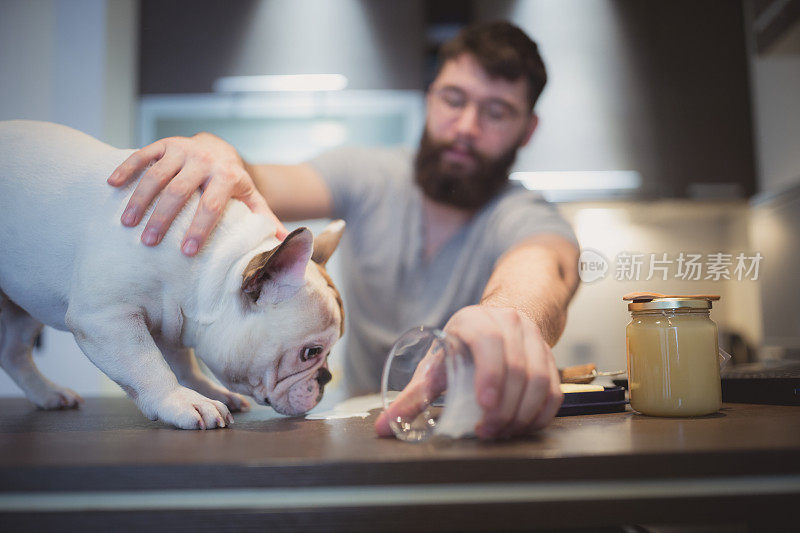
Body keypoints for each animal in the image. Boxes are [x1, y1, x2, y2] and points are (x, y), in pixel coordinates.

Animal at [0, 120, 344, 428]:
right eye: (310, 353)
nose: (326, 377)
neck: (213, 264)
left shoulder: (171, 322)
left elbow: (183, 363)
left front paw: (206, 390)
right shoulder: (106, 318)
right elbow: (147, 363)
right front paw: (182, 401)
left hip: (26, 302)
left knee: (14, 352)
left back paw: (47, 394)